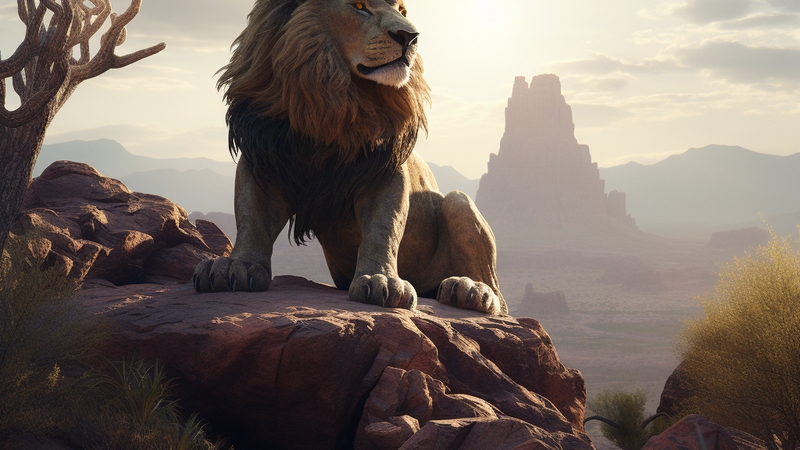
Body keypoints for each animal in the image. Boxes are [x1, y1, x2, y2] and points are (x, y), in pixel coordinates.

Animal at [192, 0, 507, 315]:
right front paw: (236, 266)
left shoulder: (384, 169)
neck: (331, 101)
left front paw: (381, 279)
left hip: (457, 203)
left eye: (401, 11)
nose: (411, 37)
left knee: (497, 294)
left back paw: (470, 290)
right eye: (359, 6)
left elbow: (384, 227)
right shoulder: (263, 155)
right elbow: (252, 218)